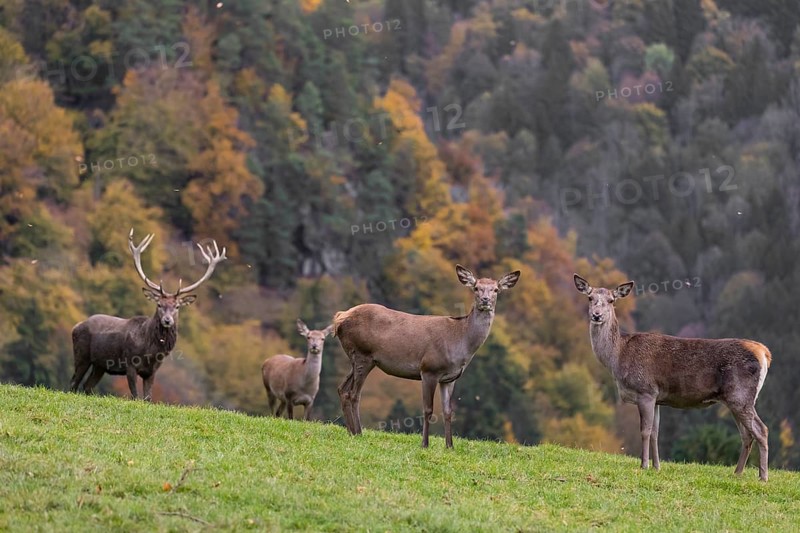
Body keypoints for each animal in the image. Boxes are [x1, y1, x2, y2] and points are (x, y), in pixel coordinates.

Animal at [70, 229, 226, 400]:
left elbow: (148, 399)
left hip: (100, 365)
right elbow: (135, 396)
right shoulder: (130, 364)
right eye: (159, 304)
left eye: (177, 306)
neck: (150, 352)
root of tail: (76, 326)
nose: (167, 320)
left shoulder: (152, 371)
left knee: (87, 385)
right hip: (81, 355)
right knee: (73, 383)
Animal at [333, 264, 520, 448]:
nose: (485, 300)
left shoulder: (450, 378)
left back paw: (350, 432)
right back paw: (358, 433)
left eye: (496, 289)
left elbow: (448, 411)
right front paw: (425, 444)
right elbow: (428, 409)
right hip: (363, 354)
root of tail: (340, 318)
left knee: (343, 389)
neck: (460, 342)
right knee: (354, 394)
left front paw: (450, 446)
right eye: (476, 288)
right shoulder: (429, 369)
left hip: (358, 358)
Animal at [573, 274, 771, 481]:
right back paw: (738, 473)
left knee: (761, 430)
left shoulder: (645, 390)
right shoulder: (657, 398)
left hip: (740, 395)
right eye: (590, 298)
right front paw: (656, 466)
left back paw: (763, 477)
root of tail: (764, 353)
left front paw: (644, 465)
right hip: (735, 399)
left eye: (612, 300)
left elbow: (645, 431)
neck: (618, 357)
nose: (596, 315)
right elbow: (655, 432)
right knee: (746, 435)